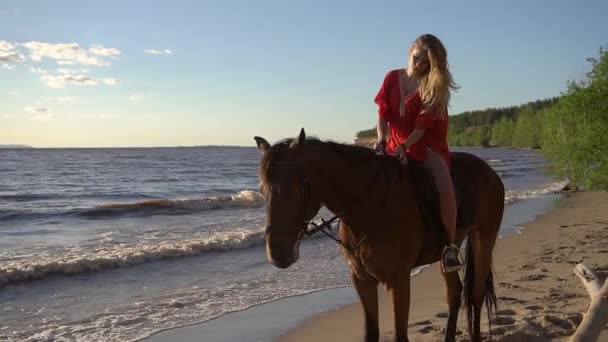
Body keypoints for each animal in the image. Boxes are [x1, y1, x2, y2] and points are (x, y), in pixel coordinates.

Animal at [255, 129, 504, 342]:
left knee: (476, 293)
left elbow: (400, 335)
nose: (276, 254)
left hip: (484, 238)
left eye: (295, 188)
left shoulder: (399, 280)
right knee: (454, 293)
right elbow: (371, 333)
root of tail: (489, 171)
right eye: (262, 190)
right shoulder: (362, 279)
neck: (368, 206)